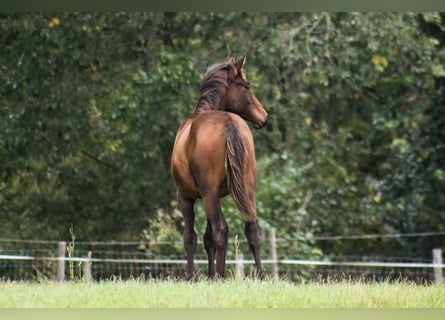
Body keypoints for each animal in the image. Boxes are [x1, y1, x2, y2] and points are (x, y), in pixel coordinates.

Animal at [171, 55, 268, 280]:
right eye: (247, 87)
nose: (264, 116)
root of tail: (229, 123)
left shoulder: (186, 197)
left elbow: (191, 237)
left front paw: (193, 276)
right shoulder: (216, 196)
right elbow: (208, 239)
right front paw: (208, 273)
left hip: (208, 196)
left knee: (220, 230)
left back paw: (220, 276)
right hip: (246, 190)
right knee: (251, 230)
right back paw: (259, 275)